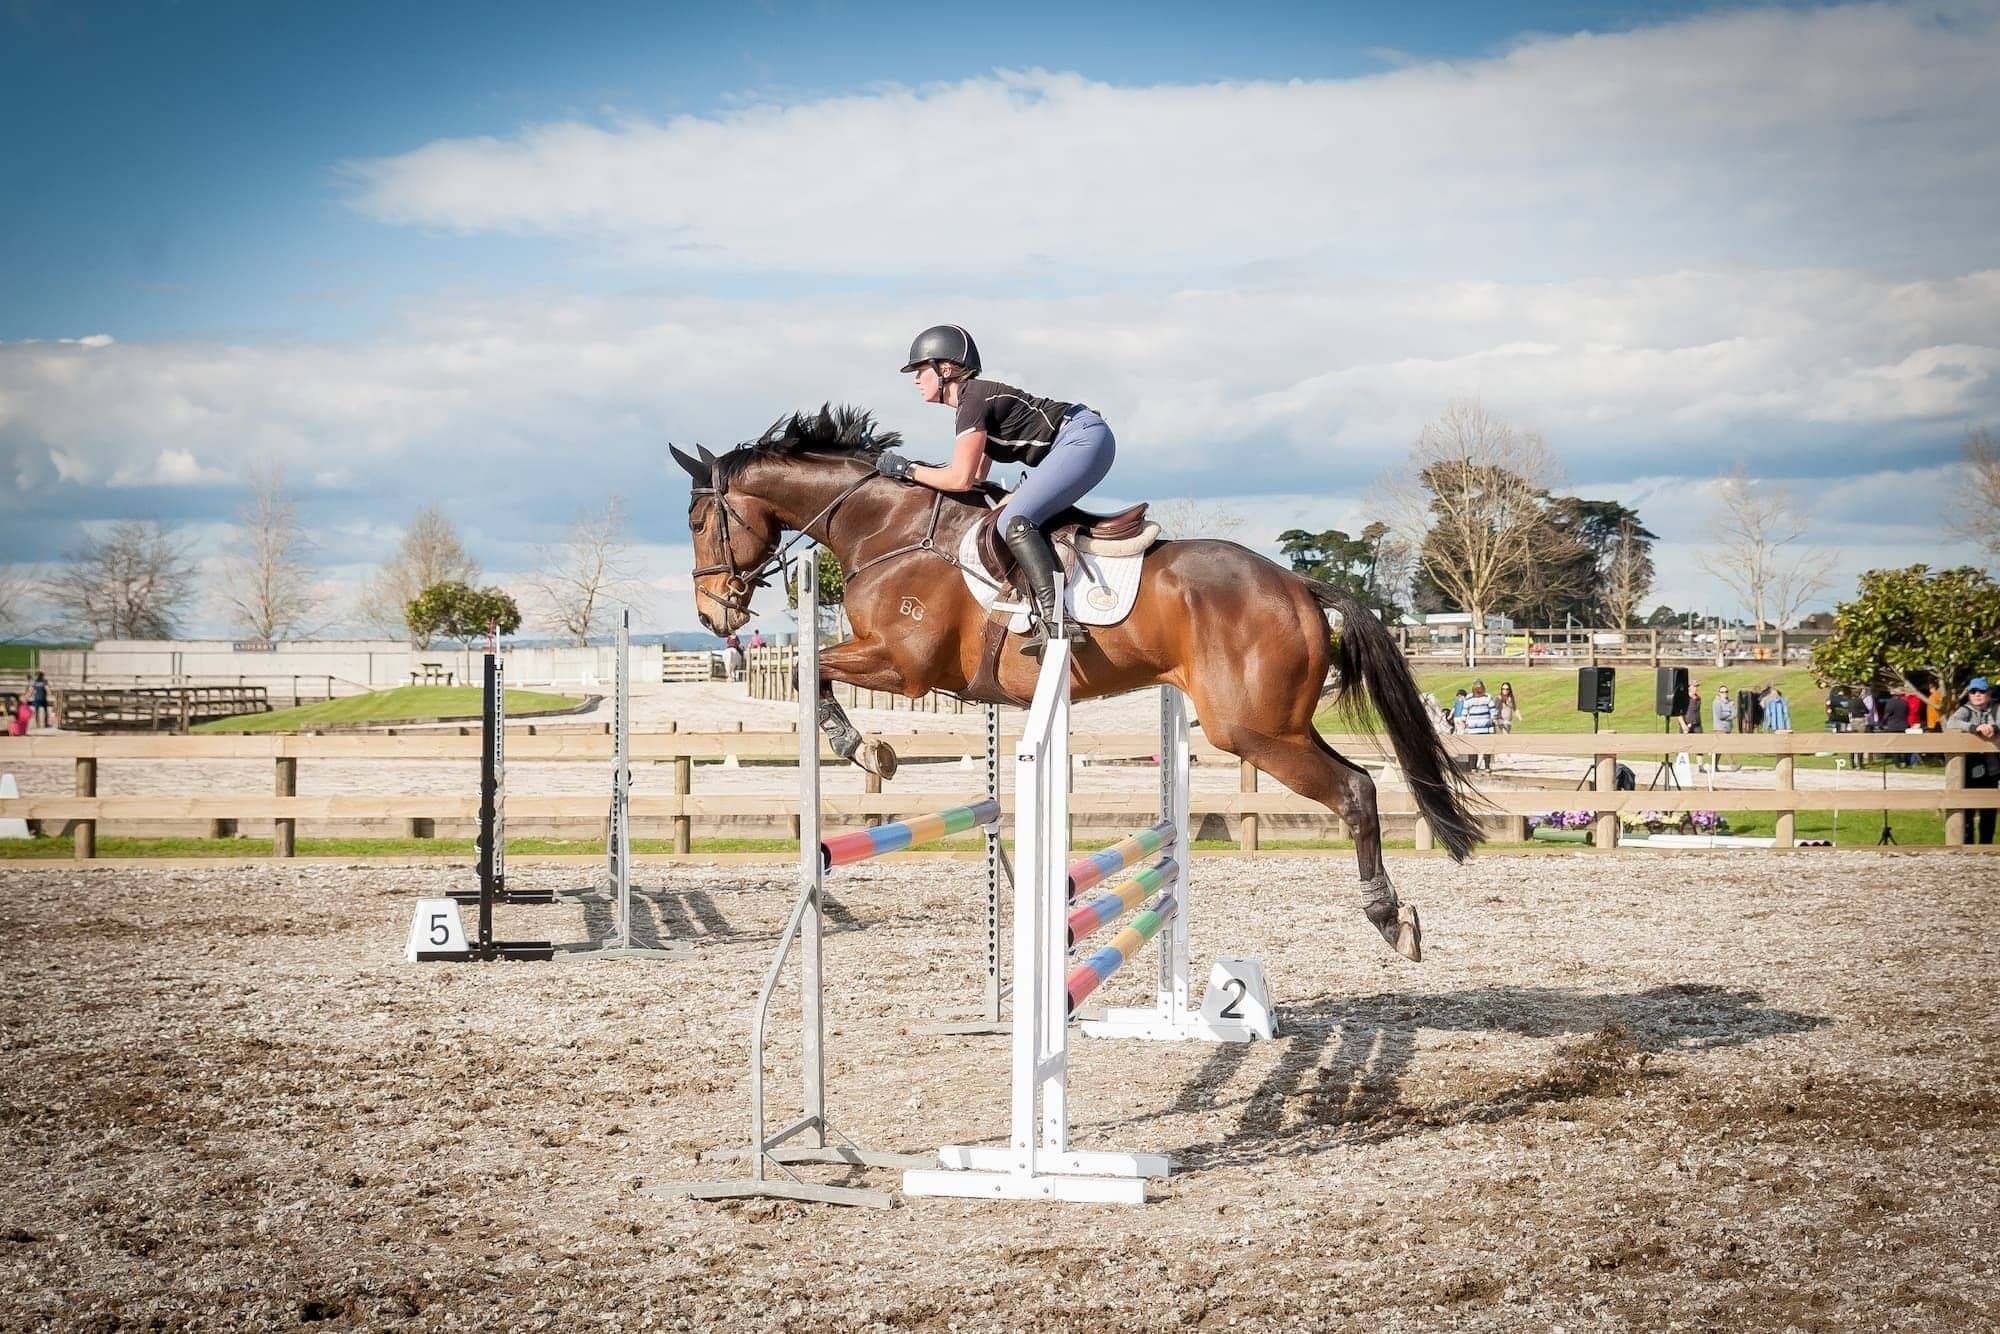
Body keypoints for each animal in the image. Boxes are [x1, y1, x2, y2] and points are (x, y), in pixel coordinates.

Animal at [671, 405, 1485, 961]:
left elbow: (810, 671)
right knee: (1359, 782)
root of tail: (1296, 584)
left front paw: (862, 747)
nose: (713, 615)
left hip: (1252, 730)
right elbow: (811, 671)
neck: (888, 525)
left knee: (1356, 791)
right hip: (1280, 722)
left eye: (700, 522)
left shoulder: (904, 665)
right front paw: (864, 746)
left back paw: (1390, 919)